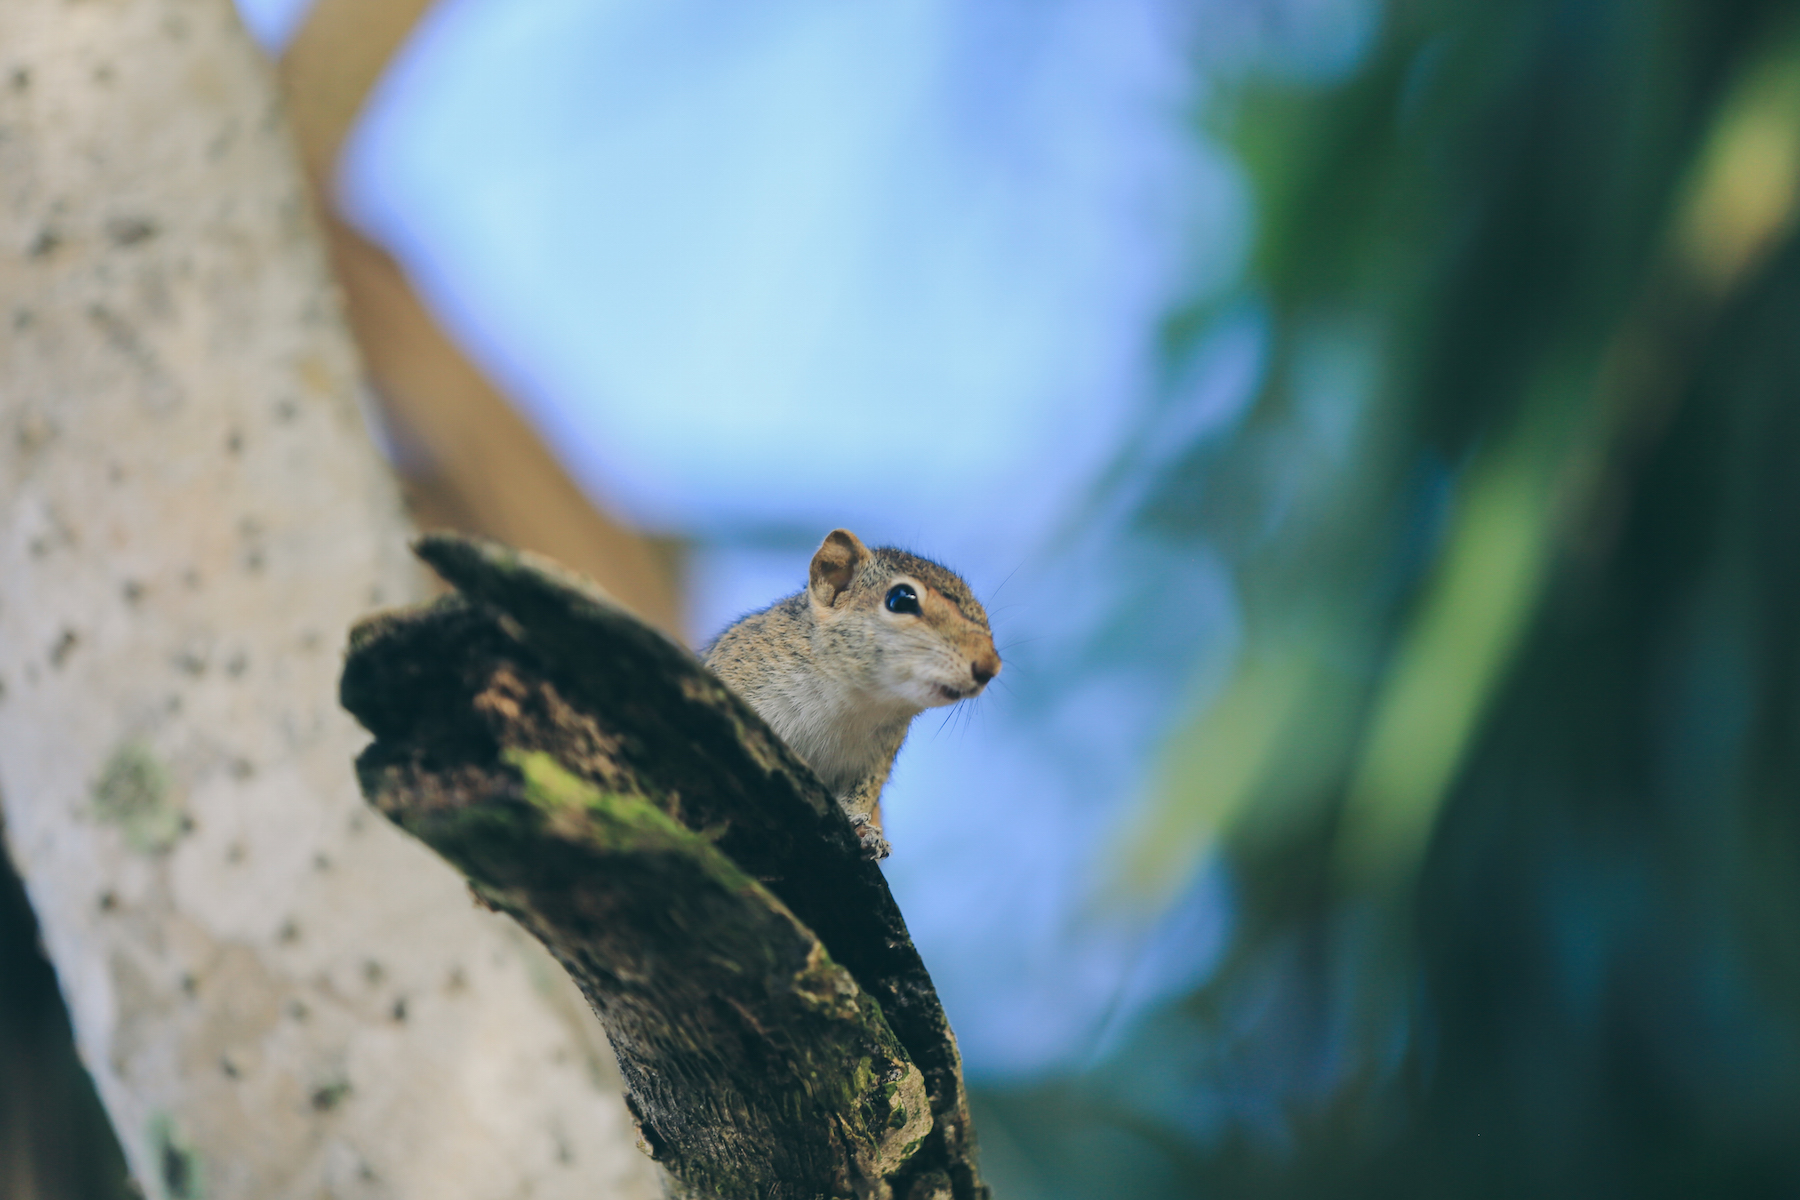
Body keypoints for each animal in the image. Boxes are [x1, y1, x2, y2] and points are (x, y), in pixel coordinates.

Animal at [705, 528, 1000, 859]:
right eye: (901, 599)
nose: (990, 665)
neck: (853, 697)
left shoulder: (874, 761)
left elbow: (861, 795)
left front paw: (867, 832)